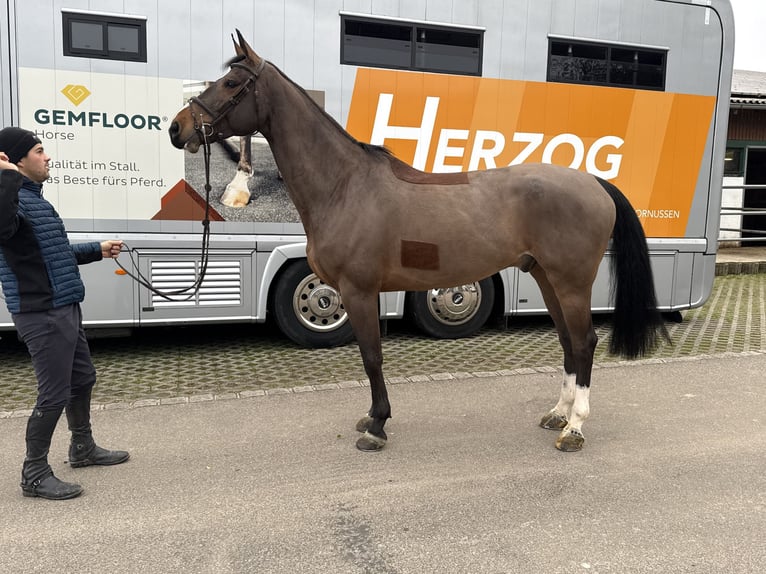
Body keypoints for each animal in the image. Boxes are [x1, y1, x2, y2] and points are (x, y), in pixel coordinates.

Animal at [169, 31, 669, 453]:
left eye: (232, 82)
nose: (177, 128)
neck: (344, 186)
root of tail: (593, 181)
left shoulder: (358, 291)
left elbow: (372, 357)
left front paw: (376, 426)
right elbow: (371, 358)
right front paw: (373, 419)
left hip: (571, 282)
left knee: (584, 343)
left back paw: (575, 429)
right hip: (547, 278)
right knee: (568, 342)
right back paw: (558, 415)